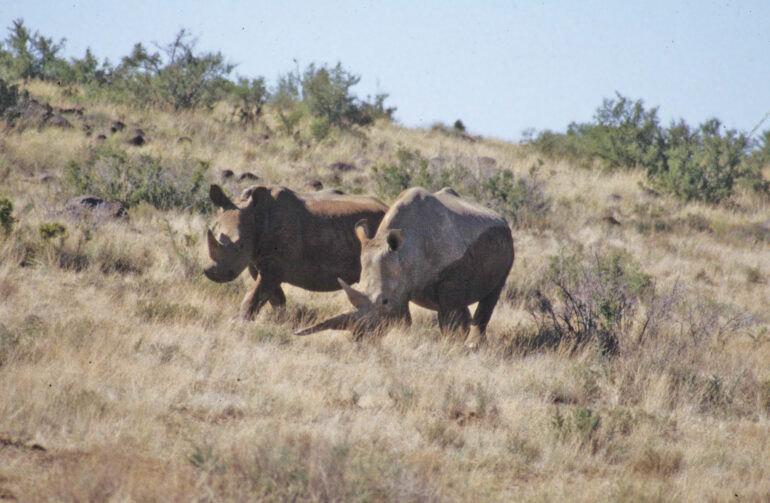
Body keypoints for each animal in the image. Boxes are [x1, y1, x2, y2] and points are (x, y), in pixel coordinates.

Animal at [204, 184, 388, 319]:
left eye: (240, 245)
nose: (213, 273)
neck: (258, 216)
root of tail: (386, 206)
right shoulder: (257, 261)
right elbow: (273, 296)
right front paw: (280, 321)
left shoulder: (273, 264)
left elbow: (255, 295)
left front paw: (240, 322)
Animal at [296, 187, 514, 347]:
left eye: (384, 301)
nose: (360, 336)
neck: (405, 250)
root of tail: (501, 217)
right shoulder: (404, 281)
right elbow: (406, 316)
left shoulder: (449, 278)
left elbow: (448, 318)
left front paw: (450, 346)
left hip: (507, 243)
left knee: (491, 295)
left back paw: (473, 345)